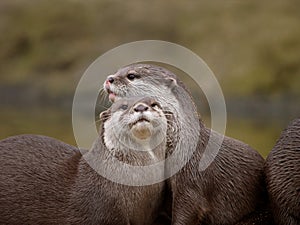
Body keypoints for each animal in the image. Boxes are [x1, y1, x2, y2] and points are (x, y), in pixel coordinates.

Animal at [103, 63, 268, 225]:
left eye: (131, 75)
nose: (109, 79)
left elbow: (188, 208)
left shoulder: (192, 178)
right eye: (117, 71)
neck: (183, 145)